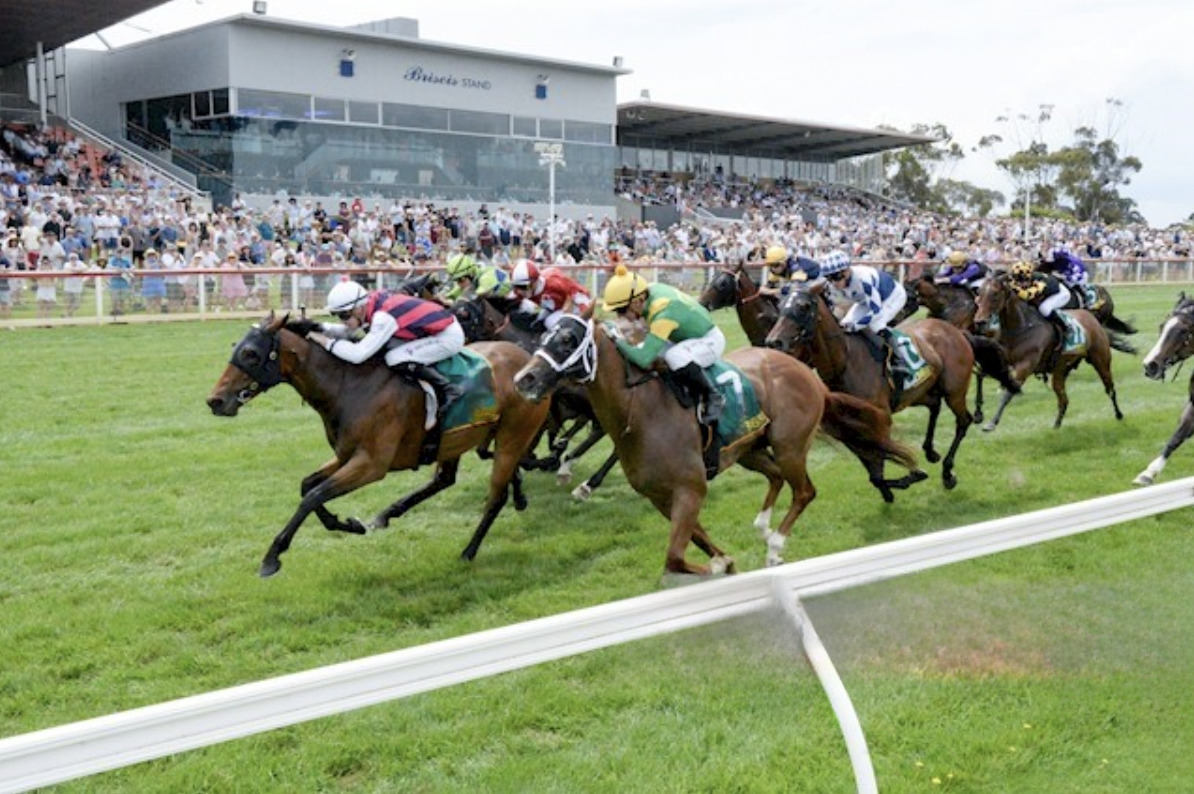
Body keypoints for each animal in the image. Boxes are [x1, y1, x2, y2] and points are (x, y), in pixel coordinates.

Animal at [208, 310, 549, 575]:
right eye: (236, 347)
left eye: (251, 354)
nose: (215, 400)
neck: (349, 386)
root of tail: (525, 359)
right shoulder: (346, 455)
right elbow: (308, 486)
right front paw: (349, 524)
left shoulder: (371, 464)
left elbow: (314, 495)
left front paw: (272, 557)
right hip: (457, 439)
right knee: (445, 479)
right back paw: (389, 514)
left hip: (512, 435)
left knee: (495, 497)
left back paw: (470, 549)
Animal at [511, 312, 912, 573]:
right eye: (542, 338)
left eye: (566, 340)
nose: (524, 378)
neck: (642, 412)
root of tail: (809, 375)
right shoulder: (660, 496)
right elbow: (698, 540)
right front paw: (725, 561)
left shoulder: (690, 489)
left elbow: (674, 557)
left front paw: (722, 567)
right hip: (749, 449)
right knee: (775, 477)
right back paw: (763, 526)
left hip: (789, 444)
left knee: (804, 491)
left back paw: (775, 546)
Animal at [768, 286, 974, 489]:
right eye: (780, 306)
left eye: (803, 306)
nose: (773, 342)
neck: (844, 363)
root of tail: (953, 329)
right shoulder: (848, 430)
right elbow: (875, 474)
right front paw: (898, 484)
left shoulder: (880, 421)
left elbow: (881, 464)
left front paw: (913, 475)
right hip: (919, 393)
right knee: (935, 405)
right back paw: (930, 452)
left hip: (954, 391)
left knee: (964, 421)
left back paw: (947, 472)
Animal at [969, 274, 1127, 434]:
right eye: (979, 293)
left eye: (995, 294)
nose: (980, 321)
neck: (1020, 328)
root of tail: (1091, 318)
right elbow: (980, 376)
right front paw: (978, 412)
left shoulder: (1024, 367)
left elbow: (1007, 393)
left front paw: (991, 423)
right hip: (1060, 370)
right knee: (1063, 400)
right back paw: (1056, 426)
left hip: (1101, 360)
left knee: (1110, 388)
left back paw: (1119, 415)